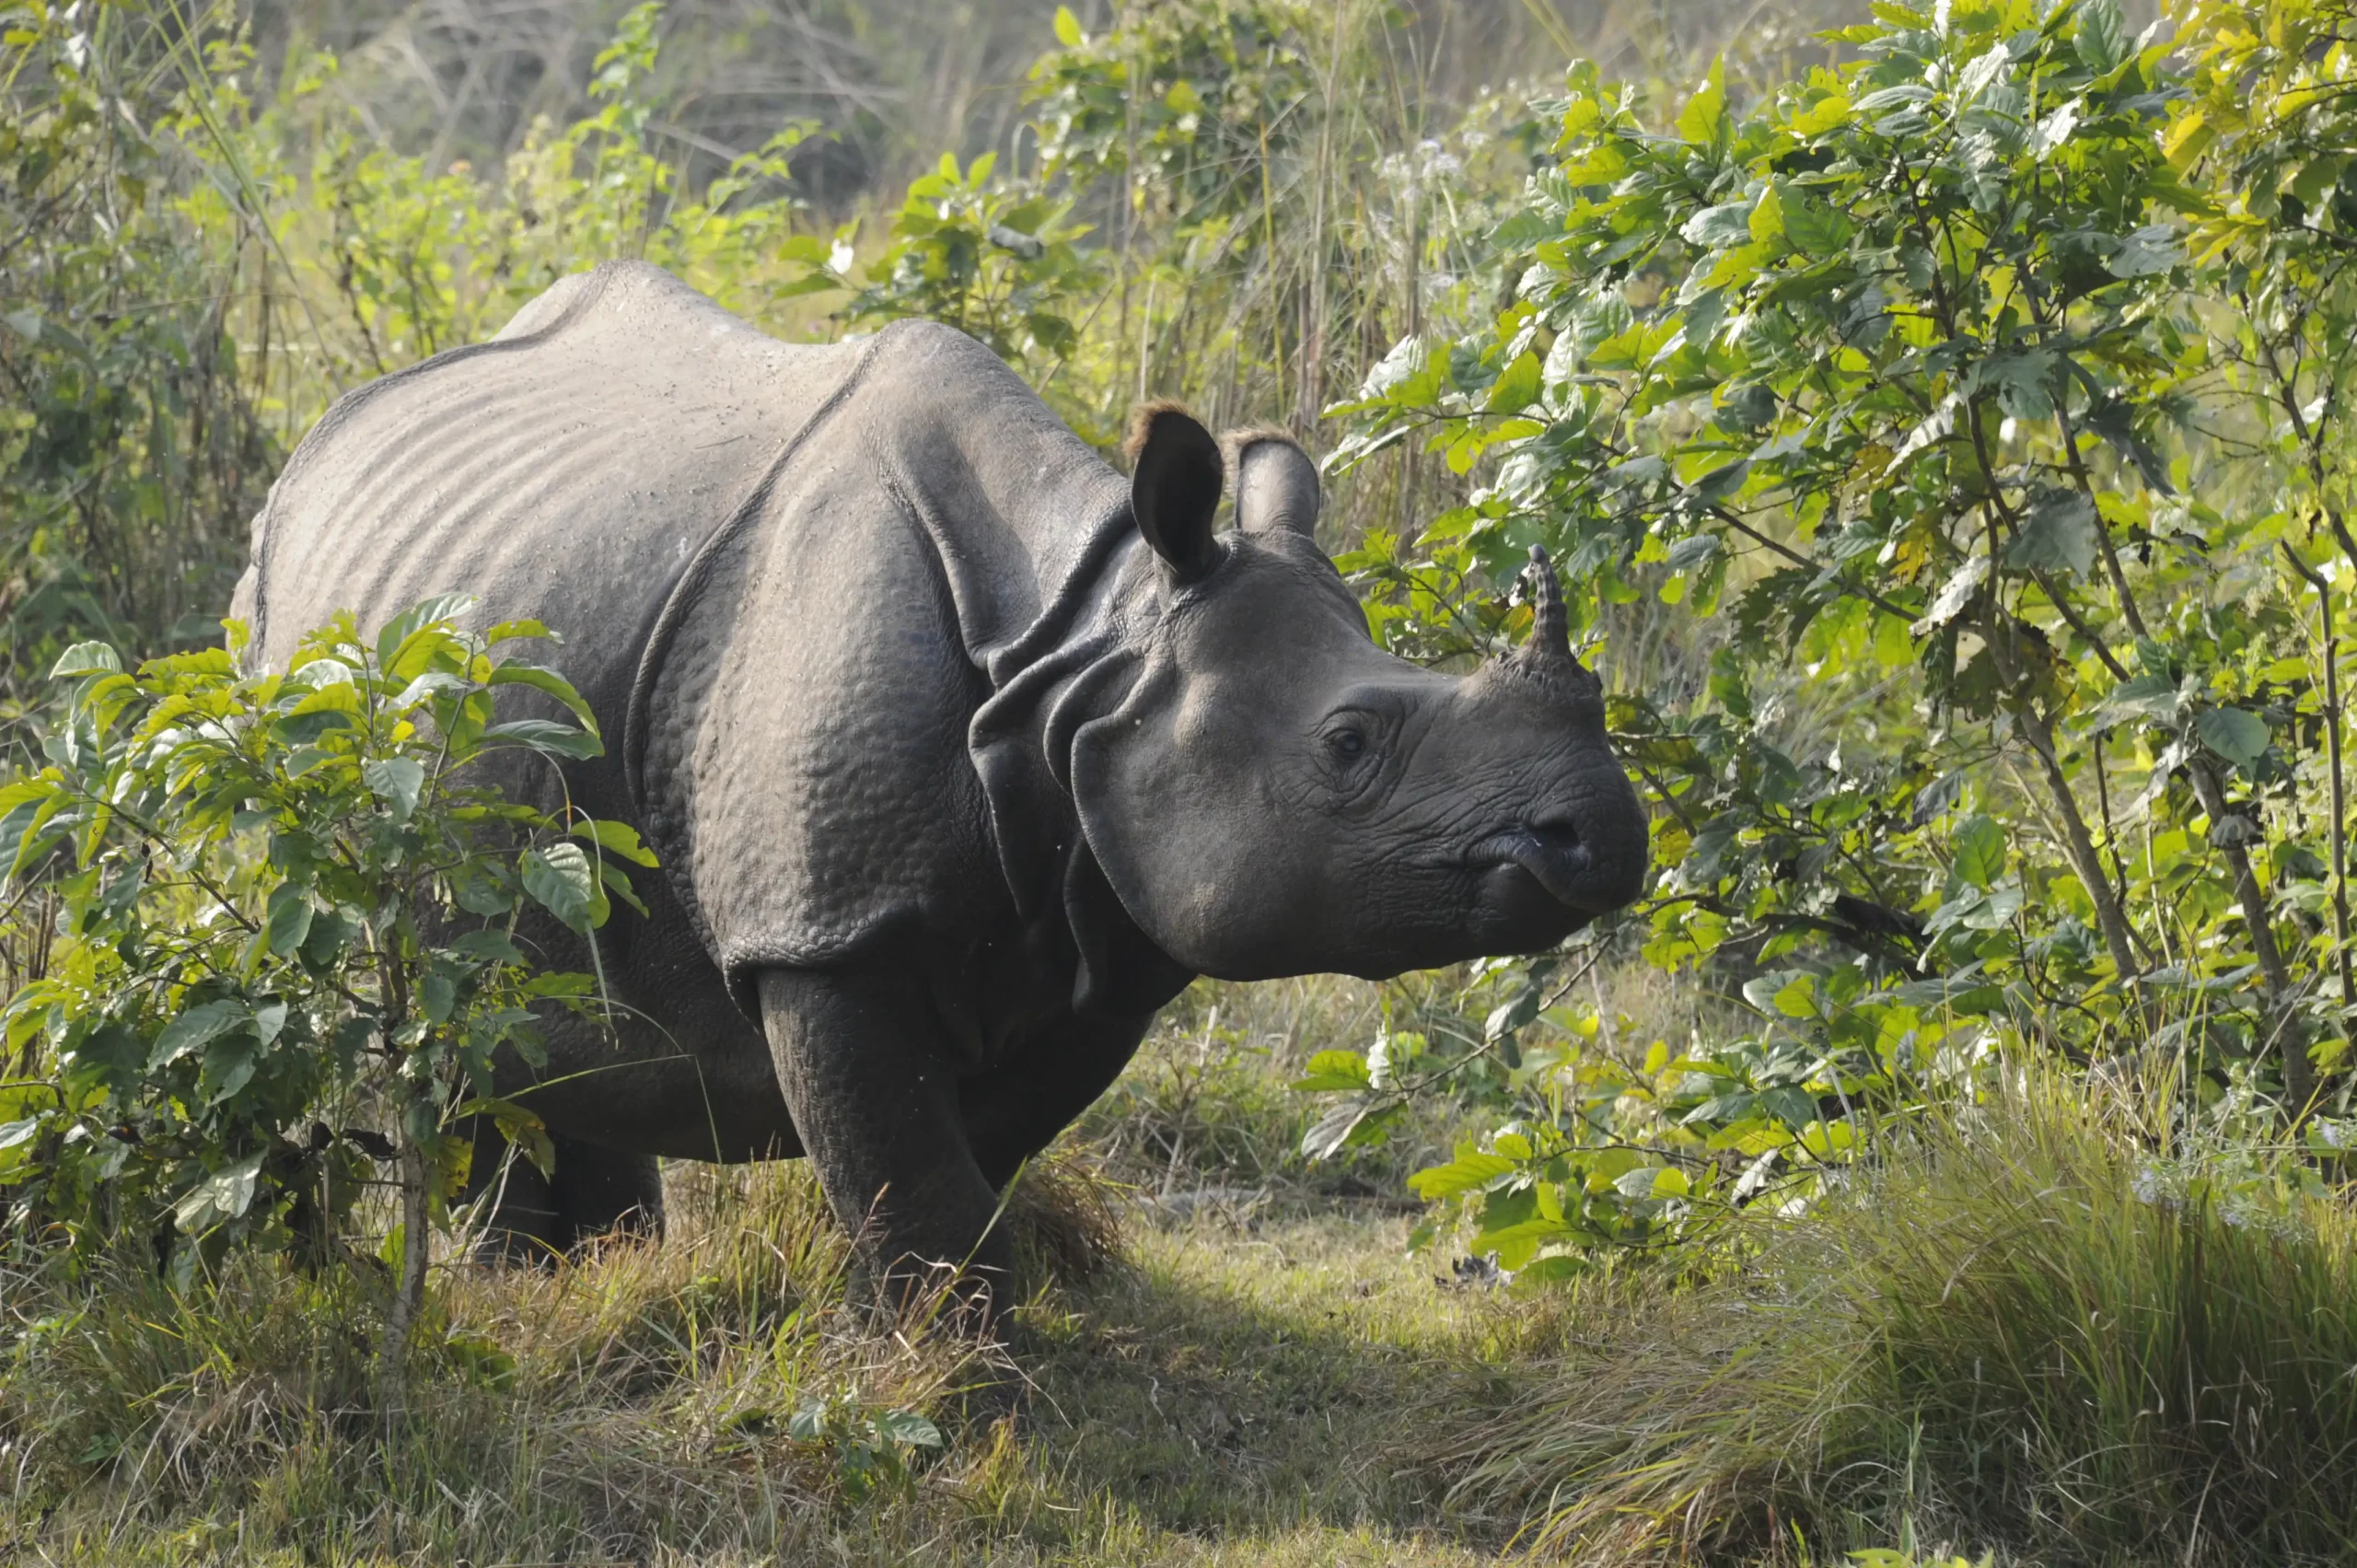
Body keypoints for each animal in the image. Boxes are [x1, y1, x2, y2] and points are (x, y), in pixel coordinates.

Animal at [234, 261, 1648, 1302]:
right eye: (1349, 744)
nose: (1603, 831)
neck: (1085, 659)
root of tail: (320, 441)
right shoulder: (825, 927)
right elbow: (916, 1177)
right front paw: (967, 1382)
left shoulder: (1095, 922)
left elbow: (954, 1164)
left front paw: (901, 1326)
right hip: (299, 671)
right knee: (437, 1015)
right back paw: (510, 1286)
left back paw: (599, 1272)